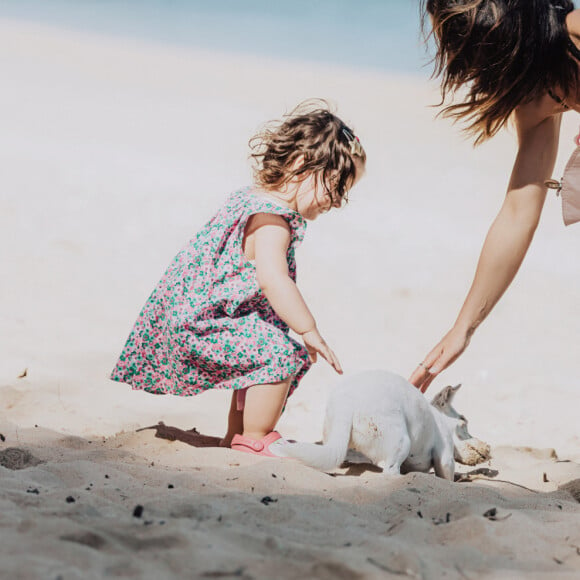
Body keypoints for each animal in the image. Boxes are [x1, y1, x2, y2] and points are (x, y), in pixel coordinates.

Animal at [282, 372, 490, 480]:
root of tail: (347, 402)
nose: (487, 447)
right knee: (390, 471)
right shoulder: (445, 458)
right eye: (464, 422)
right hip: (401, 442)